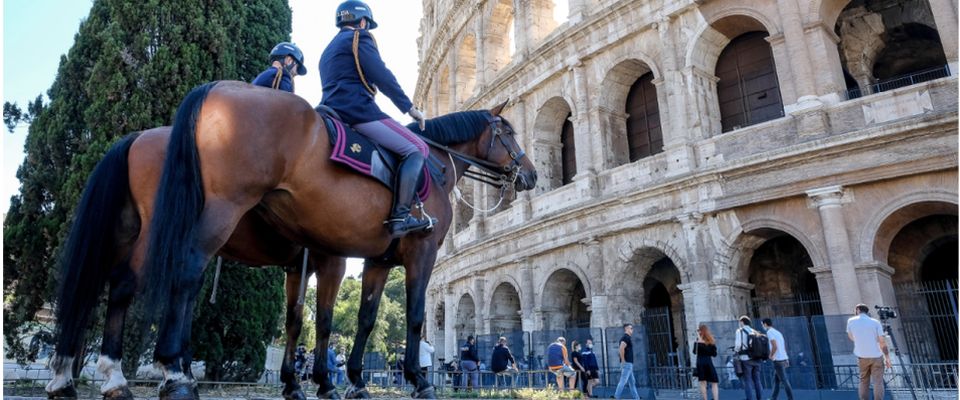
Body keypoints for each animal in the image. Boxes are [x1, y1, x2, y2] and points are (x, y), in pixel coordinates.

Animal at [48, 81, 536, 400]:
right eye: (510, 132)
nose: (530, 175)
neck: (431, 161)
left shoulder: (371, 260)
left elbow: (344, 320)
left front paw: (344, 380)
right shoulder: (404, 254)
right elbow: (402, 318)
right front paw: (413, 380)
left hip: (131, 231)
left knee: (107, 287)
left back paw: (88, 377)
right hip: (198, 220)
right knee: (170, 277)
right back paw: (168, 376)